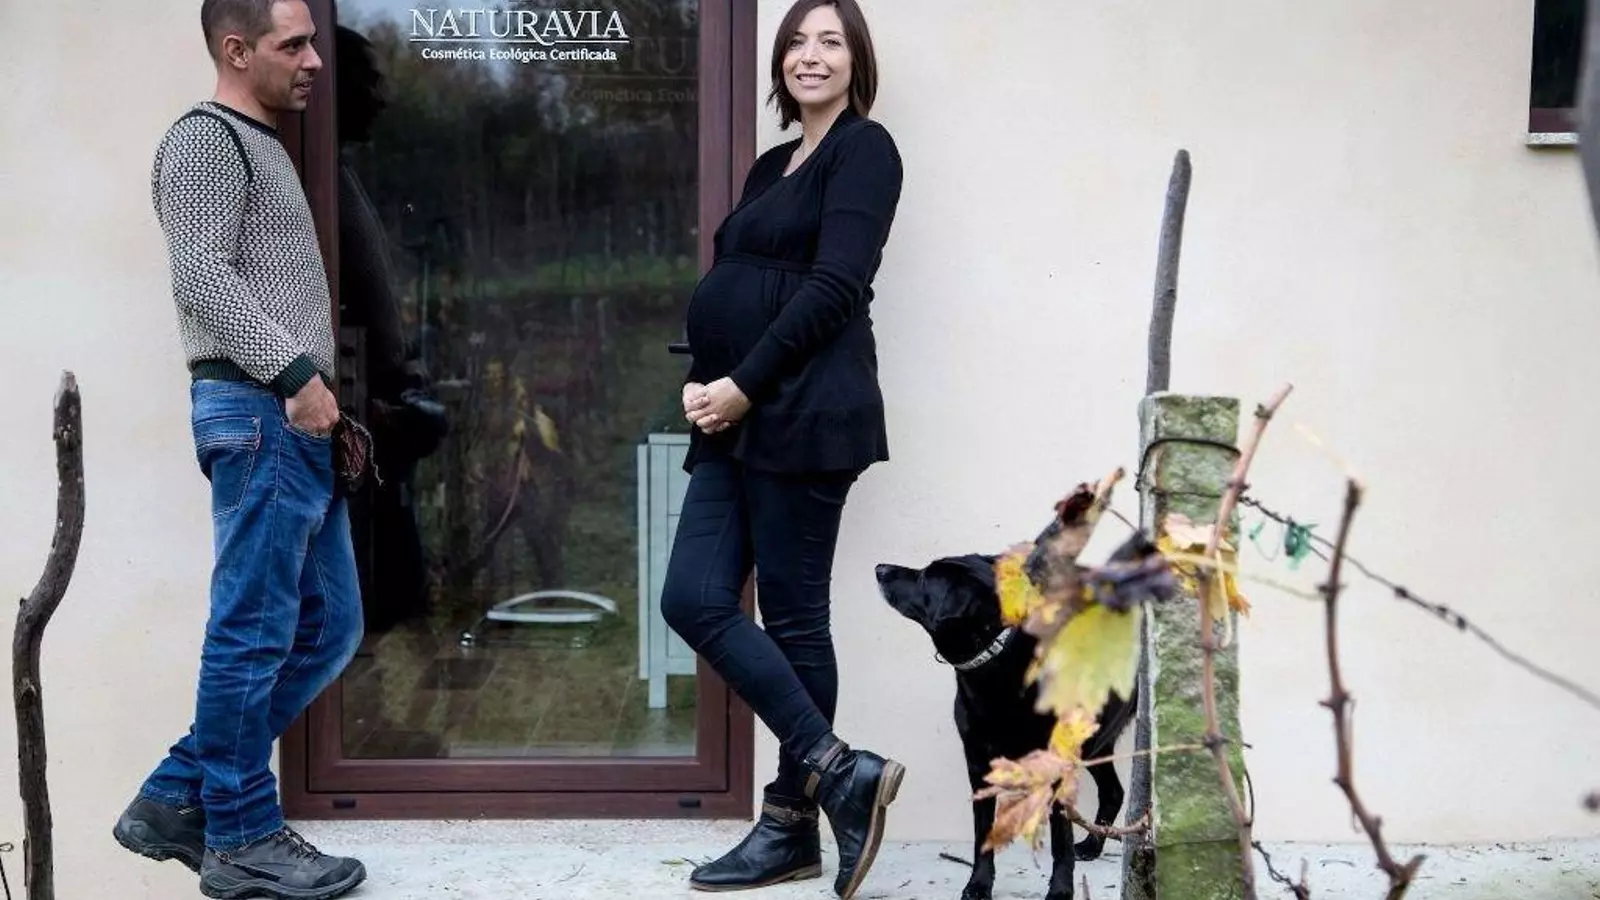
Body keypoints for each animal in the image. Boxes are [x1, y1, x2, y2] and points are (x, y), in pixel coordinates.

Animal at [876, 553, 1137, 900]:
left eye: (925, 577)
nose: (879, 569)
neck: (996, 659)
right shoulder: (978, 765)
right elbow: (982, 836)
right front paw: (978, 884)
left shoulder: (1053, 765)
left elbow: (1061, 840)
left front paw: (1060, 889)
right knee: (1112, 791)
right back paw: (1093, 845)